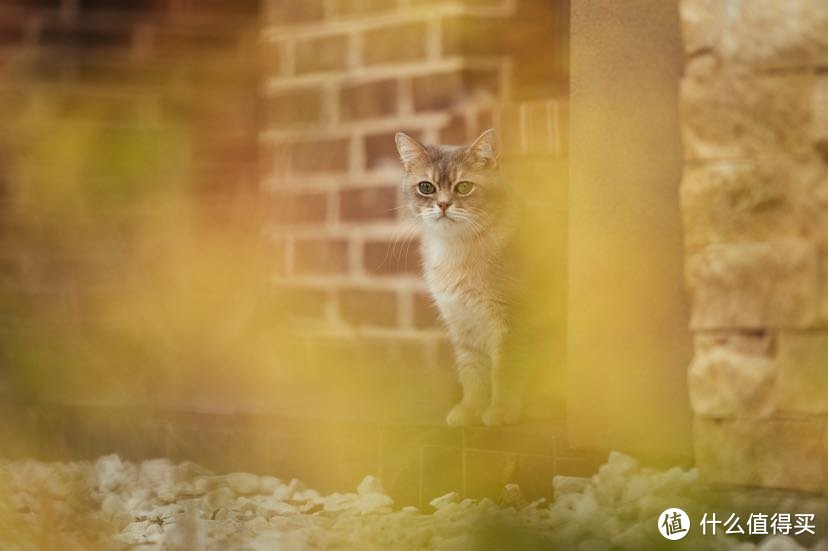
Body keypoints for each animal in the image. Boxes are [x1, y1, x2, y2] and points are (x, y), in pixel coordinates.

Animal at [396, 128, 556, 426]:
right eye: (426, 187)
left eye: (463, 187)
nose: (443, 204)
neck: (458, 251)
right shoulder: (463, 325)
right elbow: (473, 374)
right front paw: (470, 409)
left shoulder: (513, 323)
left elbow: (505, 372)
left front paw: (500, 410)